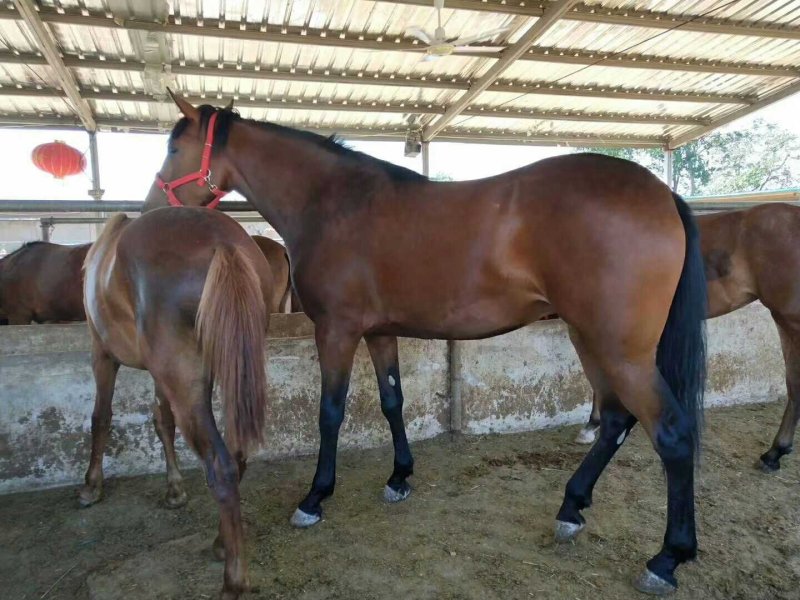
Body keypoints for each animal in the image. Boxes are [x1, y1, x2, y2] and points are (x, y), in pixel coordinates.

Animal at [81, 206, 273, 599]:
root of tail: (223, 244)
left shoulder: (102, 354)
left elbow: (101, 417)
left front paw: (92, 485)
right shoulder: (159, 375)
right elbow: (162, 421)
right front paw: (174, 488)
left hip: (183, 382)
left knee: (221, 466)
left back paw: (233, 580)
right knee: (236, 456)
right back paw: (222, 543)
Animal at [143, 93, 707, 594]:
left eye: (173, 147)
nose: (150, 210)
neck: (334, 204)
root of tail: (662, 195)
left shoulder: (337, 330)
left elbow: (330, 412)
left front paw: (315, 497)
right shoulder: (378, 331)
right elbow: (393, 400)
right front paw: (399, 478)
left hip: (620, 350)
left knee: (672, 433)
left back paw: (666, 558)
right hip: (589, 337)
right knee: (614, 420)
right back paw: (572, 508)